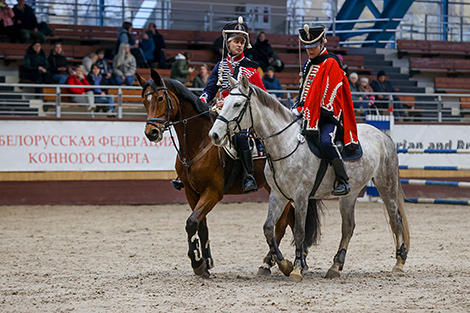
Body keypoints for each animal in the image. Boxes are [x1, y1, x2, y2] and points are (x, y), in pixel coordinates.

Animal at [135, 69, 302, 276]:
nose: (151, 132)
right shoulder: (191, 192)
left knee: (281, 225)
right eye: (144, 100)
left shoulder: (213, 192)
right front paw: (206, 262)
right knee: (292, 219)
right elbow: (201, 226)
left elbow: (191, 222)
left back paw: (269, 263)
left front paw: (197, 262)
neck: (200, 142)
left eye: (159, 98)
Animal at [209, 75, 412, 280]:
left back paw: (399, 263)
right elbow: (268, 228)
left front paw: (297, 268)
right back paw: (336, 266)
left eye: (237, 104)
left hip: (386, 184)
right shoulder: (278, 195)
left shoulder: (300, 197)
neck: (285, 143)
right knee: (348, 227)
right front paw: (284, 264)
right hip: (350, 194)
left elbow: (300, 231)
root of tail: (383, 136)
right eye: (224, 101)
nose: (214, 134)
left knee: (396, 220)